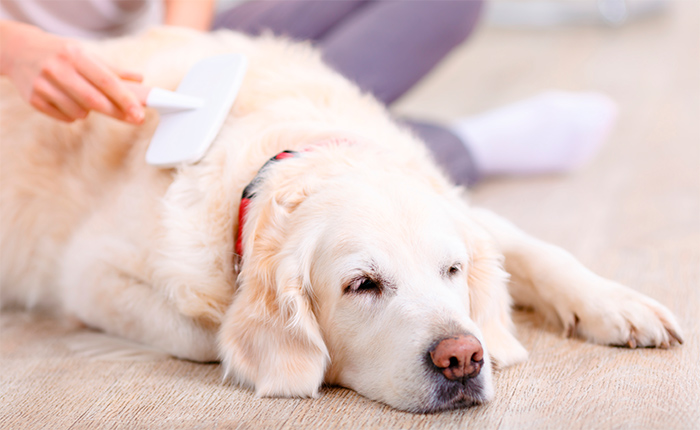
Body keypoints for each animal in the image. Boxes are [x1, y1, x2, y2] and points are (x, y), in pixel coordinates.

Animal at [0, 27, 680, 414]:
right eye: (363, 285)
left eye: (453, 270)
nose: (463, 358)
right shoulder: (88, 275)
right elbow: (207, 335)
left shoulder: (468, 213)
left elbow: (537, 251)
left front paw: (618, 305)